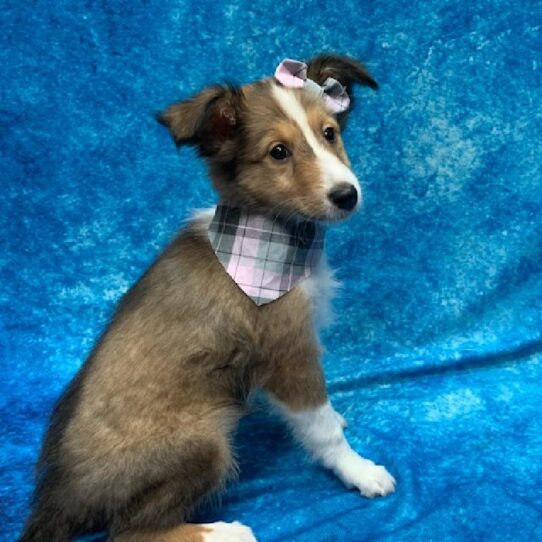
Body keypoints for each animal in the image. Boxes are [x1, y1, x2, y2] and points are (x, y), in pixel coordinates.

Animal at [20, 54, 396, 542]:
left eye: (330, 133)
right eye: (278, 152)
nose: (347, 195)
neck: (274, 236)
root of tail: (58, 498)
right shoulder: (289, 353)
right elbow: (322, 427)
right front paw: (359, 470)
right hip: (205, 441)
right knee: (128, 531)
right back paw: (220, 531)